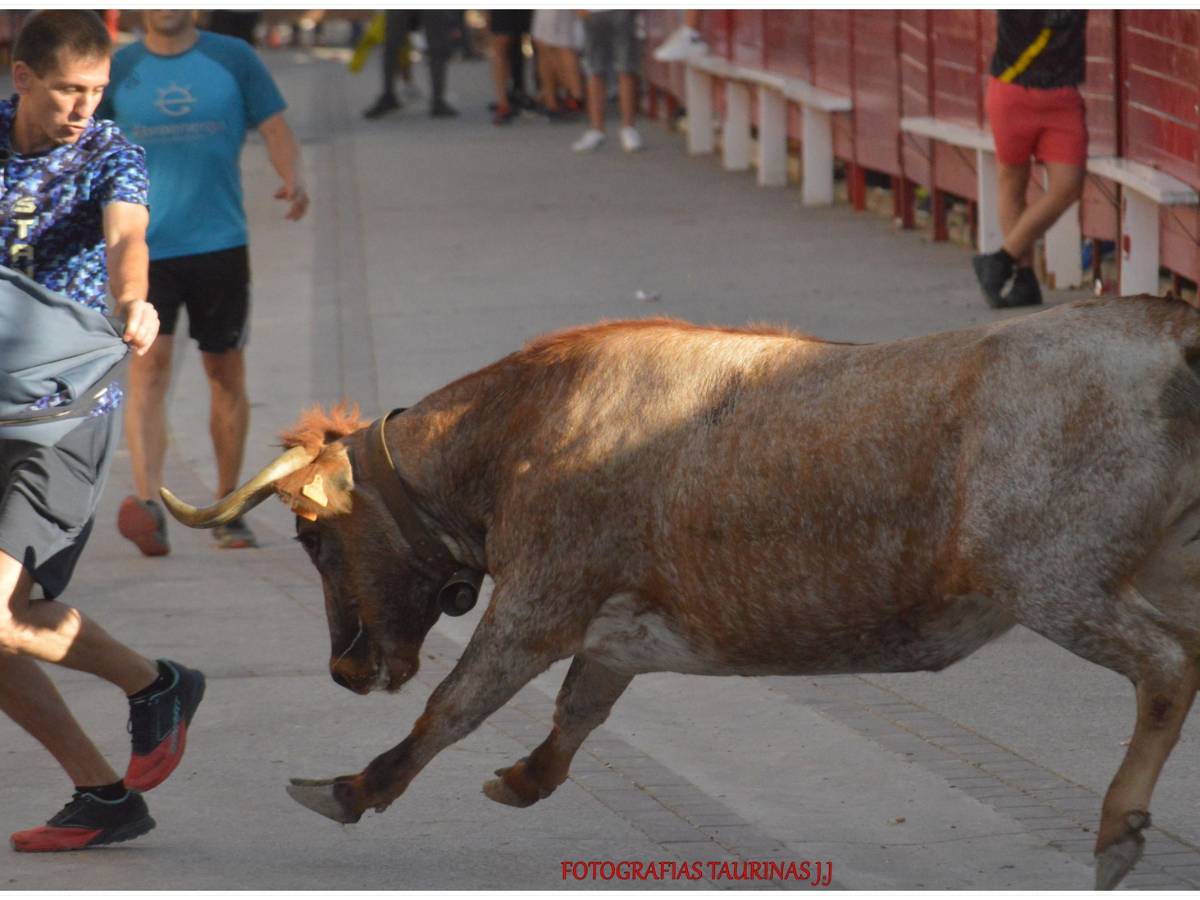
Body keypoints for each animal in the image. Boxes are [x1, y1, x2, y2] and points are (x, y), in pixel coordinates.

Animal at [162, 300, 1200, 892]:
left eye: (312, 537)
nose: (346, 669)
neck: (515, 434)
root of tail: (1164, 326)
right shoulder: (612, 625)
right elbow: (578, 710)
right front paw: (523, 778)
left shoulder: (537, 601)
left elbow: (454, 707)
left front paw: (348, 788)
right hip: (1149, 568)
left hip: (1053, 577)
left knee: (1167, 667)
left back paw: (1118, 829)